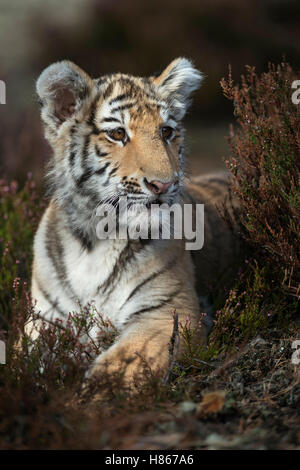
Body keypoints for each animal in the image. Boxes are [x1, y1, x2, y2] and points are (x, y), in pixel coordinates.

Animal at [27, 57, 240, 388]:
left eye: (166, 131)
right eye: (117, 134)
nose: (164, 185)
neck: (94, 238)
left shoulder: (167, 312)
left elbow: (117, 366)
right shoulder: (43, 322)